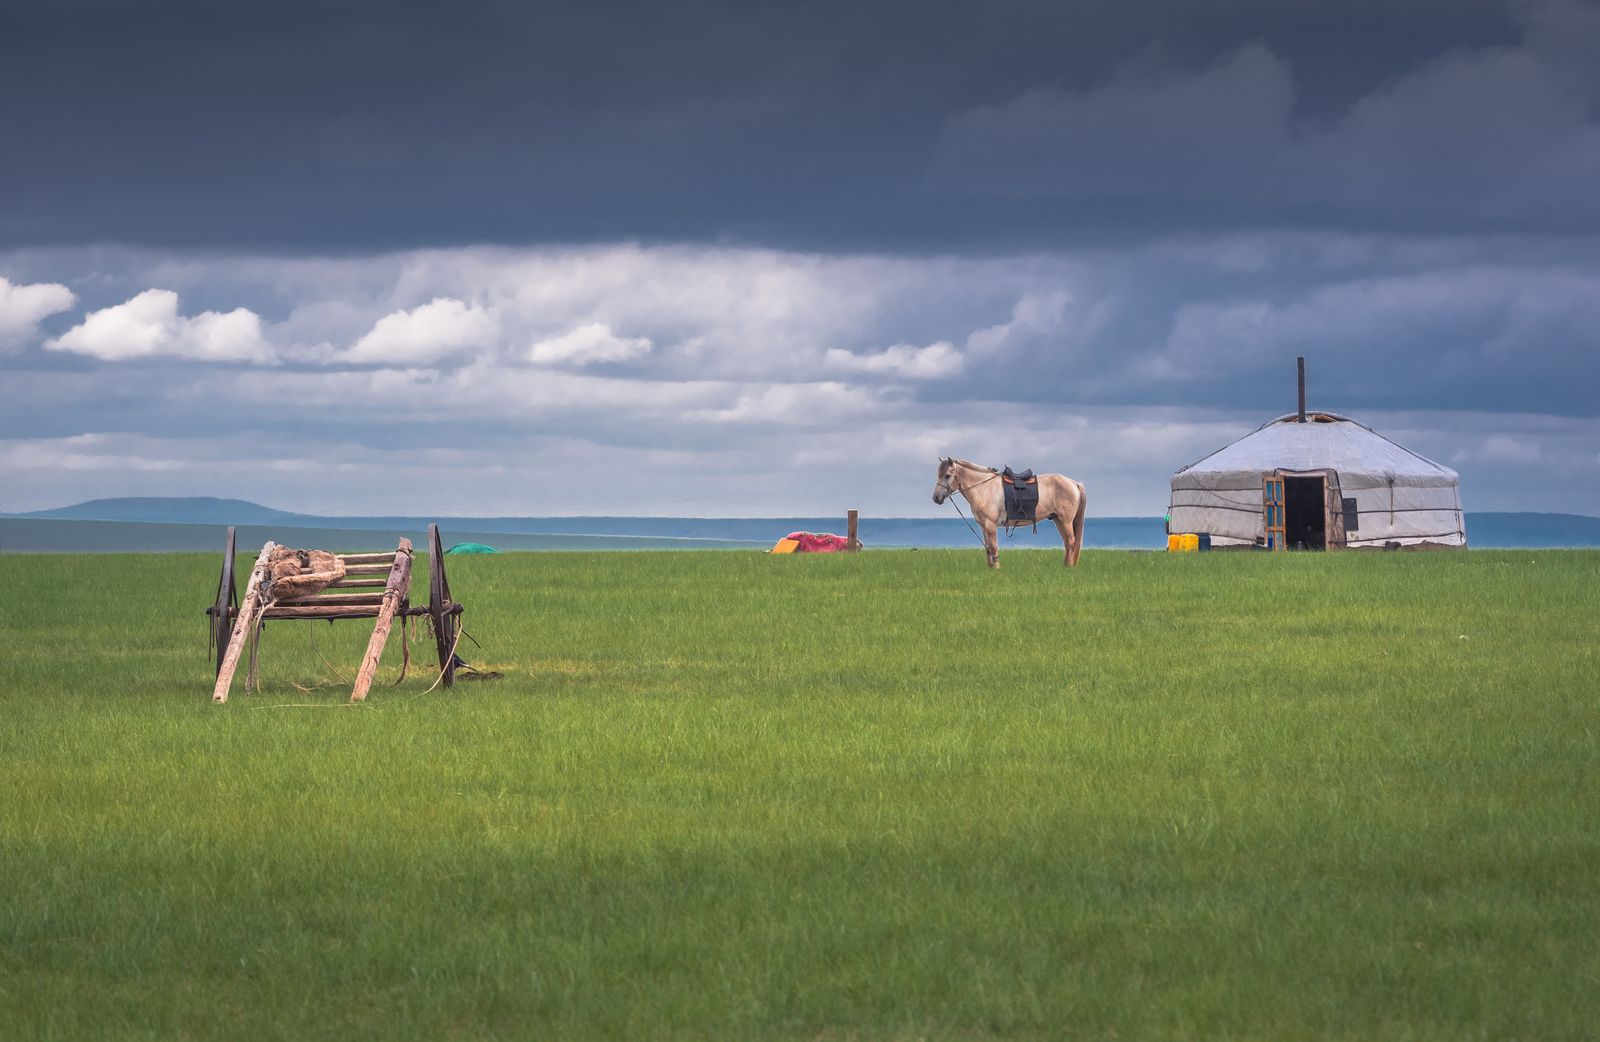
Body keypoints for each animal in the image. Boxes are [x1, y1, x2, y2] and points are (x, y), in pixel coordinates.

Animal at [934, 457, 1088, 569]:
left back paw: (1069, 567)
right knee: (1067, 543)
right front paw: (990, 568)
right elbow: (988, 548)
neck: (984, 487)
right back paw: (1065, 566)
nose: (936, 497)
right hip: (1058, 520)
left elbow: (993, 547)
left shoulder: (990, 526)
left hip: (1065, 521)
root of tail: (1074, 483)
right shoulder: (983, 526)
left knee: (1071, 542)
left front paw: (996, 568)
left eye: (947, 475)